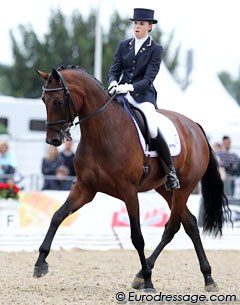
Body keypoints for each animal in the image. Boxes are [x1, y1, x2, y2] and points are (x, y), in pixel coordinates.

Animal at [33, 65, 231, 290]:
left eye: (58, 101)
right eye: (43, 100)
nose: (53, 140)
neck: (101, 132)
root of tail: (194, 126)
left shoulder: (129, 192)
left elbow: (137, 237)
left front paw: (149, 281)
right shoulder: (85, 188)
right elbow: (57, 216)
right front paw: (40, 263)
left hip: (184, 188)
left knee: (172, 227)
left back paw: (147, 274)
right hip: (165, 190)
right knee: (190, 224)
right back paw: (207, 277)